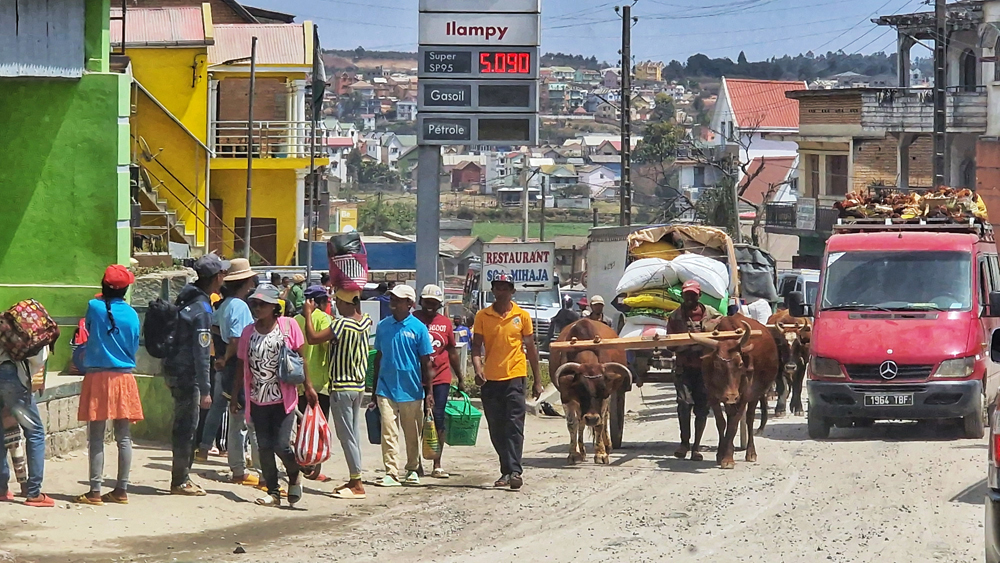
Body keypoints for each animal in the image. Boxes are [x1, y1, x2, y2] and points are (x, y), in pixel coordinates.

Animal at [550, 319, 632, 465]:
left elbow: (600, 424)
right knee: (581, 423)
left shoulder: (606, 397)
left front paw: (601, 453)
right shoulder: (566, 396)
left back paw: (607, 446)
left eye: (602, 389)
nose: (591, 418)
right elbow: (572, 424)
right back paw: (582, 452)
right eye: (581, 389)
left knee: (603, 419)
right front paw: (573, 454)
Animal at [689, 315, 779, 469]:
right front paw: (721, 454)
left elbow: (734, 425)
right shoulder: (712, 396)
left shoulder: (743, 397)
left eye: (740, 364)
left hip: (755, 395)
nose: (731, 396)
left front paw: (727, 458)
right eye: (717, 365)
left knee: (749, 419)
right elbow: (721, 422)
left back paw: (751, 453)